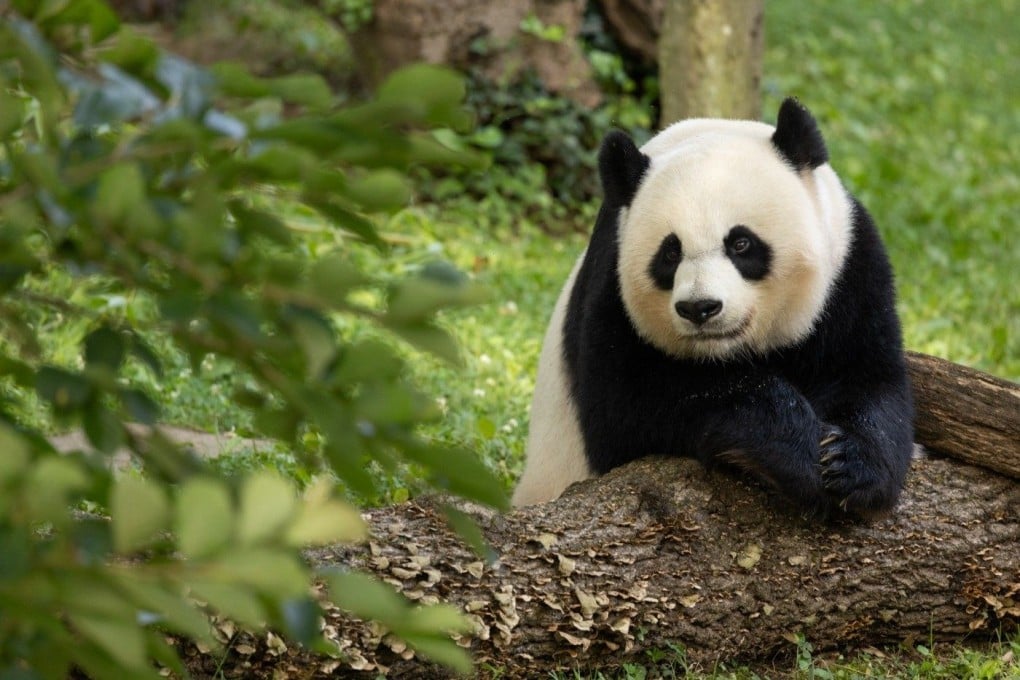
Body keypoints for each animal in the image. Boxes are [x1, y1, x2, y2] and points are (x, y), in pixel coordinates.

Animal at [513, 98, 914, 518]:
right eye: (670, 253)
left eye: (741, 243)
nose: (699, 307)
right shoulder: (611, 290)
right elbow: (627, 410)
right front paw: (797, 451)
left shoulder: (850, 268)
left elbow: (867, 376)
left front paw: (849, 466)